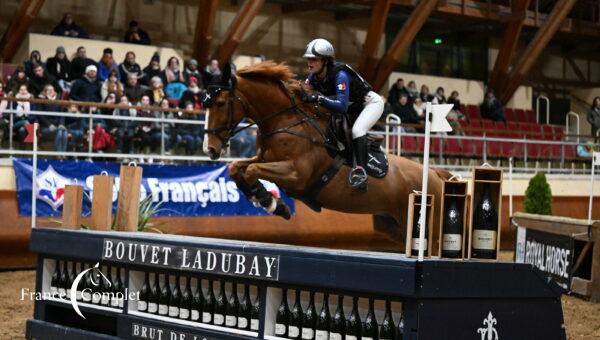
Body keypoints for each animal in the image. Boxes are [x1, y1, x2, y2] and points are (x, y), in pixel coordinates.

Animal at [203, 61, 450, 247]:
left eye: (221, 103)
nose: (209, 149)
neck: (284, 120)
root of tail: (436, 175)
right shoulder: (266, 158)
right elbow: (236, 168)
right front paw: (266, 200)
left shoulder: (296, 175)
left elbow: (252, 170)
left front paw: (270, 202)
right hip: (394, 227)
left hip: (427, 229)